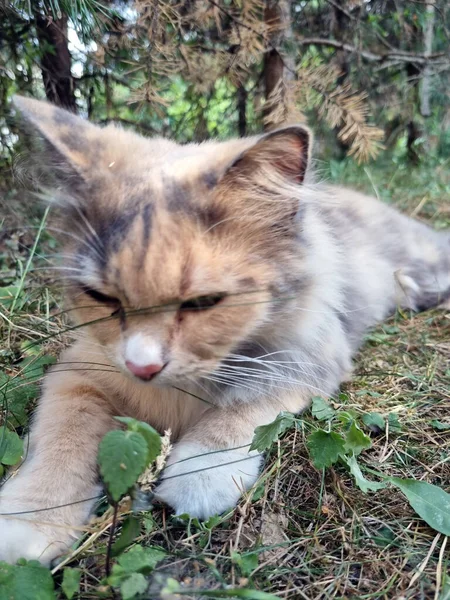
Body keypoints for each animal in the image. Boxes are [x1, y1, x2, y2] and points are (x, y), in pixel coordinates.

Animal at [0, 96, 450, 564]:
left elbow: (238, 411)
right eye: (101, 296)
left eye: (203, 302)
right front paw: (28, 517)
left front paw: (199, 476)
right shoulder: (77, 373)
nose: (142, 367)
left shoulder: (304, 359)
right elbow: (61, 440)